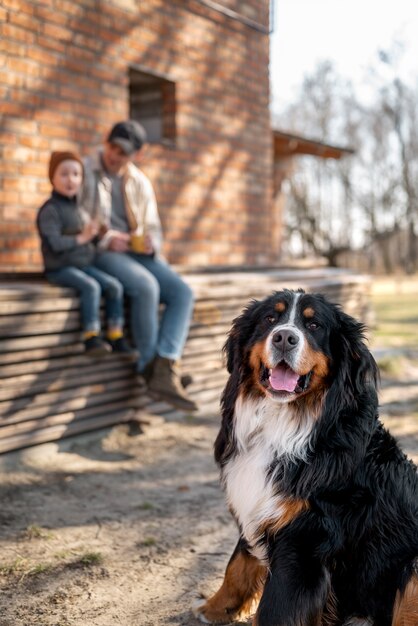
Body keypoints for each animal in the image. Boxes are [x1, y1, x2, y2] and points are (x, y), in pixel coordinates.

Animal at [193, 288, 418, 624]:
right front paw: (216, 608)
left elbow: (277, 608)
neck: (281, 424)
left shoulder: (305, 540)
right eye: (270, 319)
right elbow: (237, 564)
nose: (284, 337)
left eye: (314, 326)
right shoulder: (258, 503)